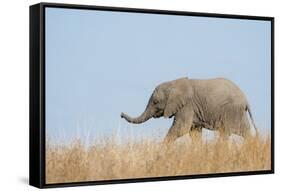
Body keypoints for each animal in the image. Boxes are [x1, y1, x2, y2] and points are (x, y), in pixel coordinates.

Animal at [120, 77, 256, 143]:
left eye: (155, 102)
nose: (120, 114)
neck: (173, 83)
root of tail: (245, 98)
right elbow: (194, 132)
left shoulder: (187, 105)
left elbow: (181, 128)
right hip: (238, 113)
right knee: (244, 132)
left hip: (231, 110)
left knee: (226, 132)